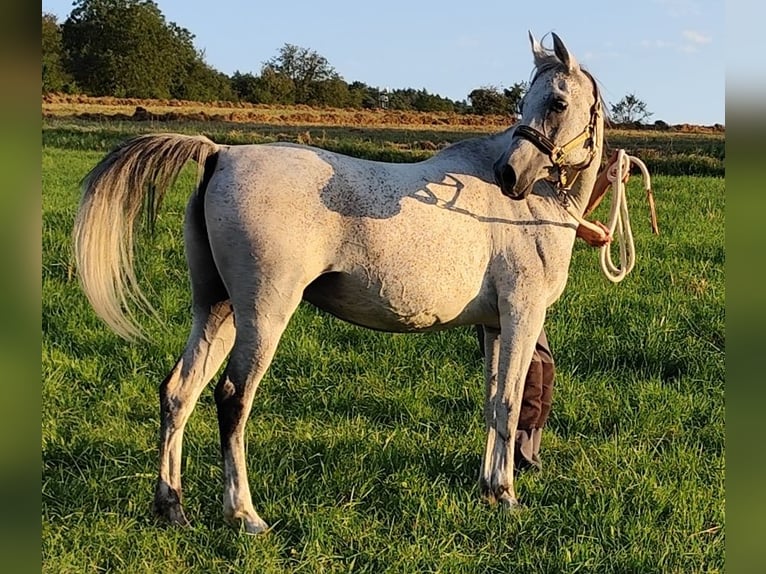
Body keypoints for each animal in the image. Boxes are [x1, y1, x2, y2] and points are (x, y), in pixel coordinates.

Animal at [75, 32, 608, 536]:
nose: (509, 174)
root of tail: (221, 154)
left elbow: (493, 403)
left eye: (555, 102)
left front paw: (488, 488)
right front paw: (506, 494)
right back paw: (245, 514)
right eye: (536, 101)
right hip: (263, 316)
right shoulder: (522, 316)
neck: (529, 204)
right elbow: (511, 403)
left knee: (178, 392)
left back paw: (172, 507)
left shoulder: (495, 327)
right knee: (232, 398)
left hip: (216, 310)